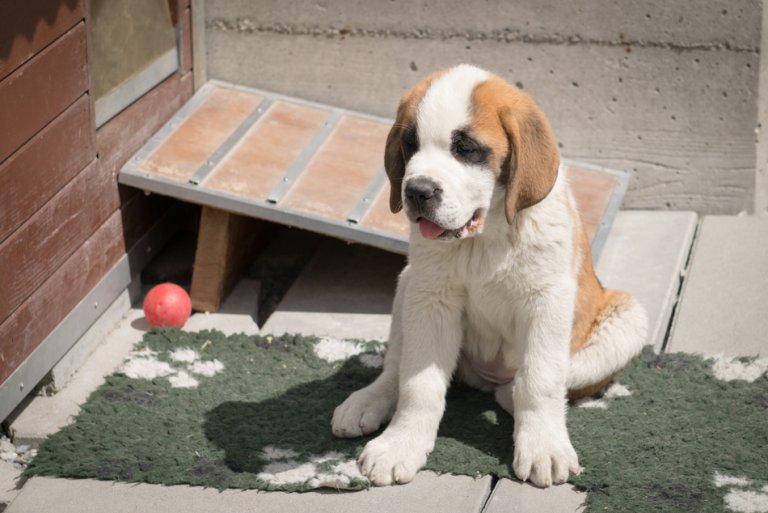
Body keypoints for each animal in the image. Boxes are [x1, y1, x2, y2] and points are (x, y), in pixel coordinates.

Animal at [332, 65, 648, 488]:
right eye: (410, 144)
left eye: (466, 149)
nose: (417, 191)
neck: (485, 236)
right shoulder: (431, 299)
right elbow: (418, 383)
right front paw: (401, 445)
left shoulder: (547, 301)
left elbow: (540, 380)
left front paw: (544, 447)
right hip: (409, 283)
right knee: (396, 366)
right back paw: (367, 401)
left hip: (627, 318)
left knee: (531, 385)